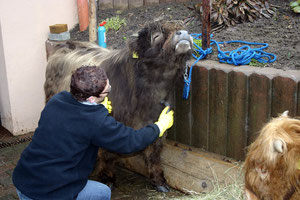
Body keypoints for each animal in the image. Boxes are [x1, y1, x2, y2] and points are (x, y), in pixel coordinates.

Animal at [43, 20, 193, 192]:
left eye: (182, 29)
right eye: (156, 36)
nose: (183, 33)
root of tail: (64, 45)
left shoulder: (156, 124)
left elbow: (154, 153)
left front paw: (159, 182)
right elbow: (107, 155)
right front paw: (108, 179)